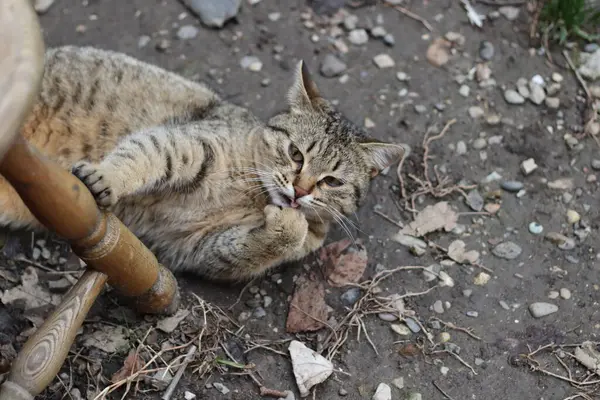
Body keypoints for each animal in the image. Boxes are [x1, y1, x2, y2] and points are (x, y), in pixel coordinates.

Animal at [0, 45, 408, 280]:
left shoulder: (199, 248)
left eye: (332, 182)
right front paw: (107, 177)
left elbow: (255, 246)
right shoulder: (188, 143)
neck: (255, 195)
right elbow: (141, 155)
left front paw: (288, 225)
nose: (300, 190)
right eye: (296, 154)